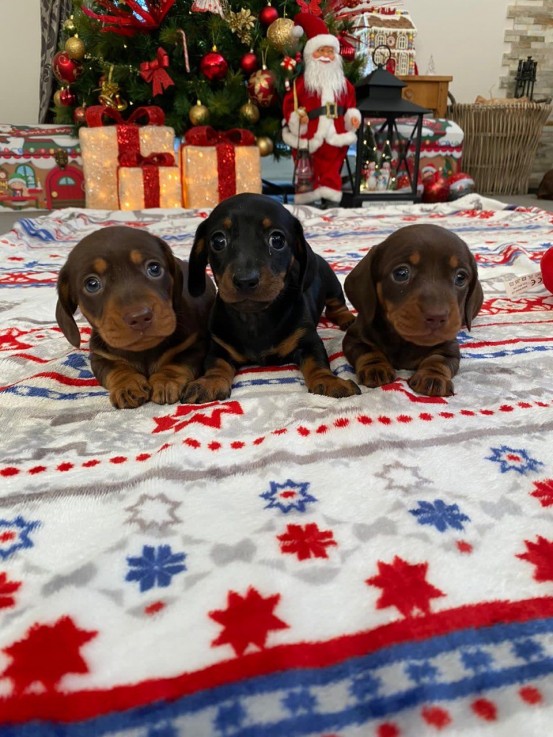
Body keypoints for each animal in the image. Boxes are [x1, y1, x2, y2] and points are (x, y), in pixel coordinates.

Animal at [56, 224, 215, 408]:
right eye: (92, 284)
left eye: (154, 268)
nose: (139, 317)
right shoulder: (100, 357)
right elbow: (117, 369)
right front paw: (127, 385)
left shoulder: (194, 345)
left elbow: (178, 362)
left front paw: (165, 380)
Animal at [183, 191, 360, 402]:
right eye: (218, 241)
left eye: (277, 240)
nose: (245, 280)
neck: (255, 318)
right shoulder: (219, 346)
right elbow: (216, 363)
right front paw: (209, 382)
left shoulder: (308, 340)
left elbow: (317, 361)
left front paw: (329, 381)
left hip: (332, 285)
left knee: (336, 306)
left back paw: (347, 318)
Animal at [342, 221, 480, 396]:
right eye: (401, 273)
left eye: (461, 277)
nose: (437, 316)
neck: (404, 340)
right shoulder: (354, 337)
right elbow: (368, 350)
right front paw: (375, 367)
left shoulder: (449, 346)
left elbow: (438, 359)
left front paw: (433, 376)